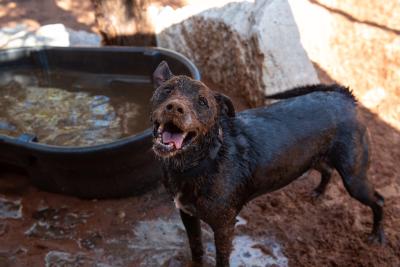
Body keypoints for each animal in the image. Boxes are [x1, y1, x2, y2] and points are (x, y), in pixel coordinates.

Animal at [149, 61, 384, 266]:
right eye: (167, 90)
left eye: (203, 102)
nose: (174, 107)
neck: (204, 160)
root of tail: (343, 95)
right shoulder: (187, 215)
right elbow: (196, 247)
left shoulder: (224, 227)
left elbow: (221, 259)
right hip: (310, 159)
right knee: (326, 170)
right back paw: (318, 191)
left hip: (354, 178)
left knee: (378, 200)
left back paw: (377, 235)